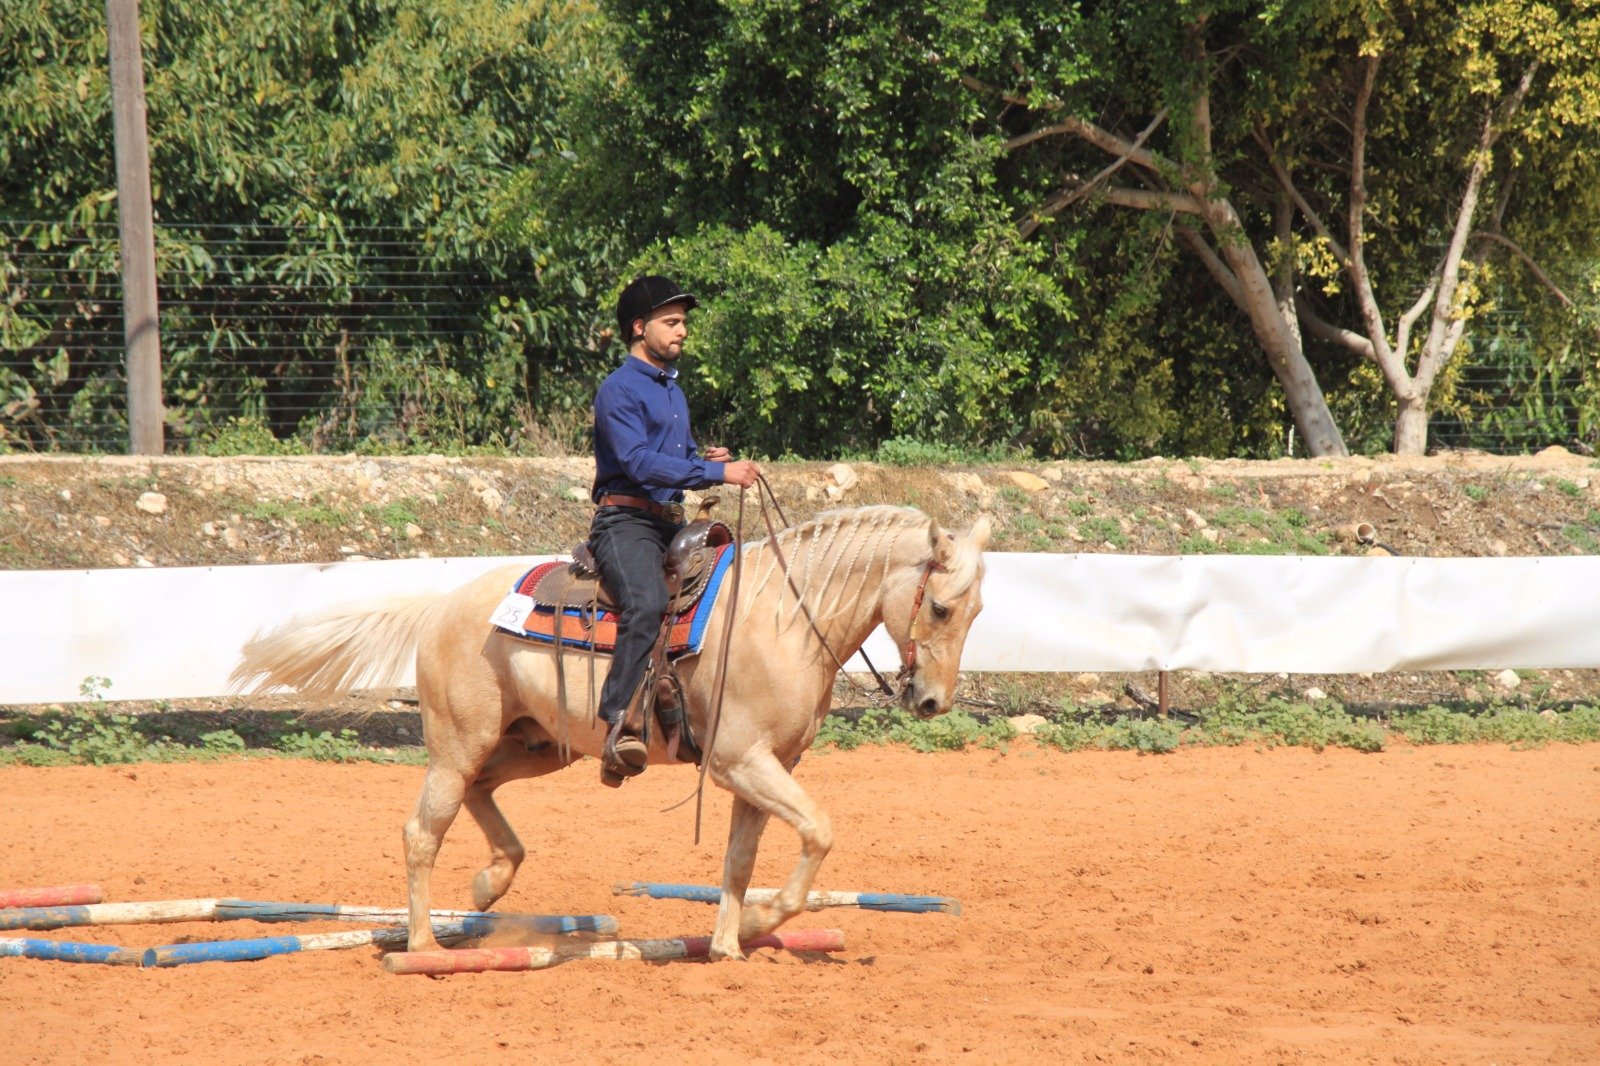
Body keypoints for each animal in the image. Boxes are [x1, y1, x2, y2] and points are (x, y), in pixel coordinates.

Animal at [233, 502, 985, 960]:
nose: (931, 702)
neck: (782, 618)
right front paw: (759, 922)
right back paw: (423, 946)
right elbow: (819, 833)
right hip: (457, 744)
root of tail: (441, 605)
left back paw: (488, 887)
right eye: (941, 608)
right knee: (423, 830)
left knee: (481, 796)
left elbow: (742, 859)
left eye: (977, 612)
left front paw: (728, 942)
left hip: (535, 745)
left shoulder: (769, 768)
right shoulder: (741, 762)